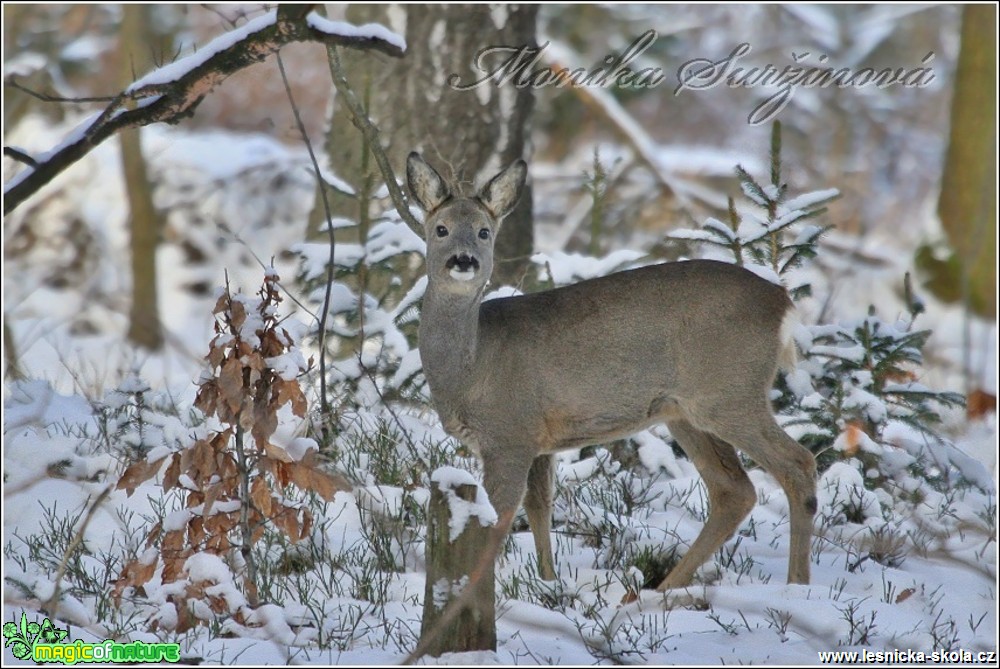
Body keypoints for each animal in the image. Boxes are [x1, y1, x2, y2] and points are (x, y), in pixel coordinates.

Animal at [410, 153, 816, 588]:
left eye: (484, 232)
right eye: (441, 229)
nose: (463, 260)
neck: (473, 365)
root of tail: (782, 302)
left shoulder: (508, 433)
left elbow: (497, 517)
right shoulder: (538, 438)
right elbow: (539, 507)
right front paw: (548, 582)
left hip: (729, 392)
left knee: (797, 464)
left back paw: (796, 585)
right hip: (684, 411)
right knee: (734, 490)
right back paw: (660, 590)